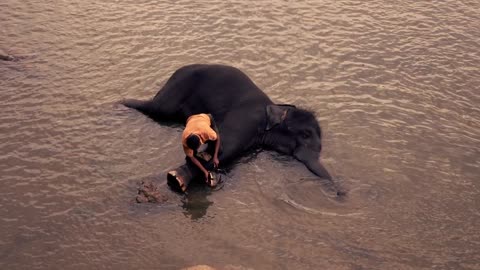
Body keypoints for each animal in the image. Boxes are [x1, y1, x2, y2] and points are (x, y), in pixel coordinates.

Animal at [122, 64, 344, 197]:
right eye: (305, 134)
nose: (341, 193)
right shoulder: (246, 119)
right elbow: (223, 147)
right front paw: (177, 179)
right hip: (175, 90)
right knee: (157, 108)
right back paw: (123, 103)